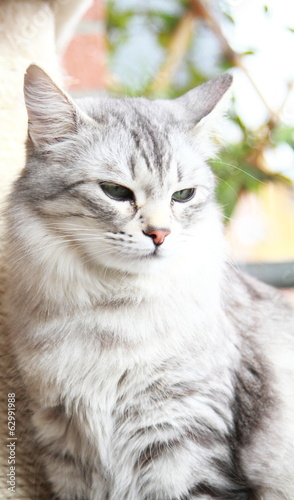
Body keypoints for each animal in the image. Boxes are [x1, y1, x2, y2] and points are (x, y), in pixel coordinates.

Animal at [4, 63, 294, 500]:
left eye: (183, 195)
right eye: (115, 191)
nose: (160, 234)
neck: (111, 316)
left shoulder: (182, 441)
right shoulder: (66, 447)